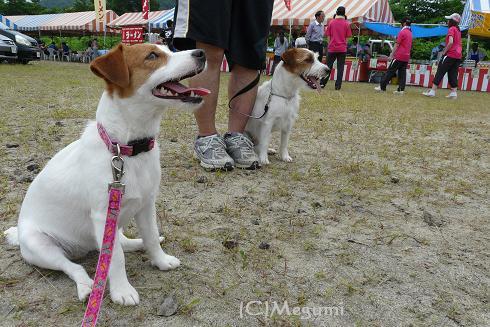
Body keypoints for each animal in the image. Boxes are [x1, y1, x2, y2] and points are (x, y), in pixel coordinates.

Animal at [4, 44, 211, 306]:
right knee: (74, 266)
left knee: (119, 243)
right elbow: (116, 259)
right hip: (40, 246)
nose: (201, 53)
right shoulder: (103, 215)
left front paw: (161, 261)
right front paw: (122, 290)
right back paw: (85, 286)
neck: (125, 149)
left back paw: (136, 244)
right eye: (152, 56)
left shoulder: (146, 204)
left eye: (168, 48)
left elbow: (151, 237)